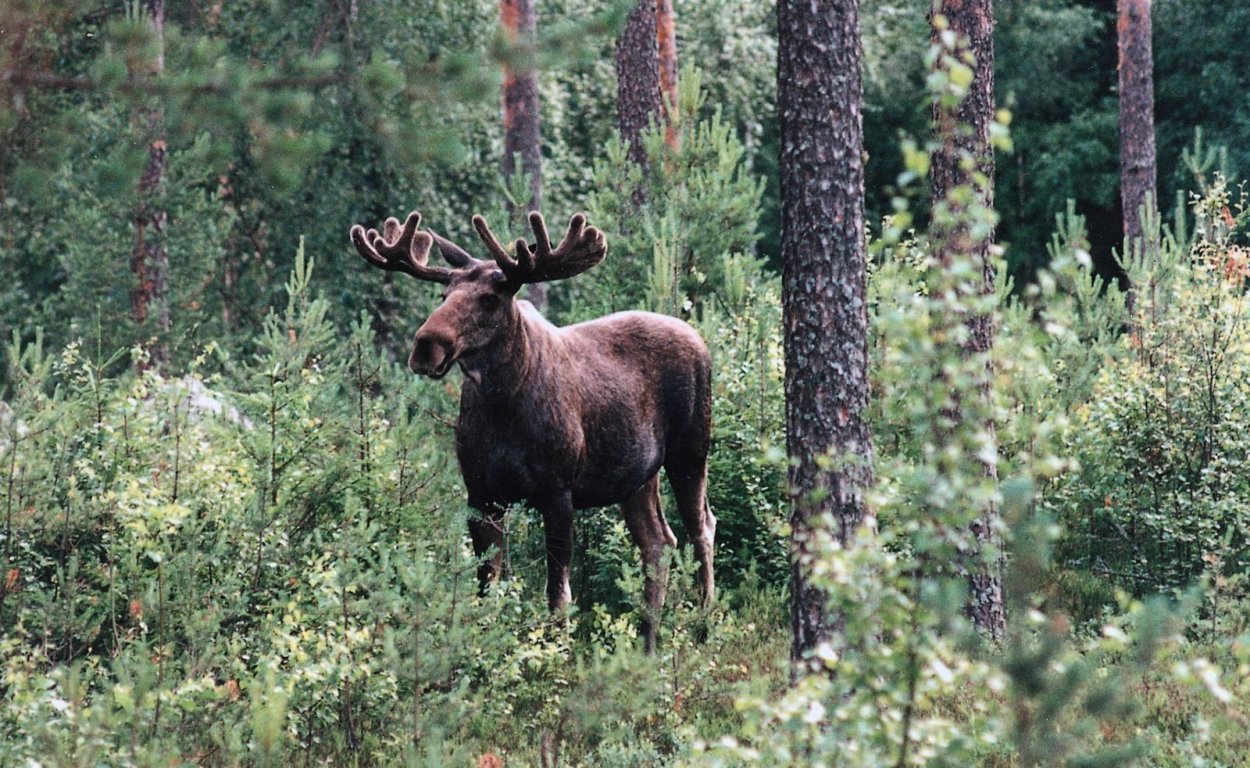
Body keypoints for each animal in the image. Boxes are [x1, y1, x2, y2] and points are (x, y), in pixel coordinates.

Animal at [350, 208, 715, 650]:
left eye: (490, 299)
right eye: (443, 295)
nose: (426, 345)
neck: (503, 409)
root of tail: (699, 338)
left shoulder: (557, 491)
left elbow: (557, 593)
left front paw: (555, 654)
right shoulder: (481, 495)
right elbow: (486, 585)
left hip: (690, 451)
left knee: (701, 530)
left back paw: (703, 630)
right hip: (637, 477)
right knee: (659, 542)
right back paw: (647, 644)